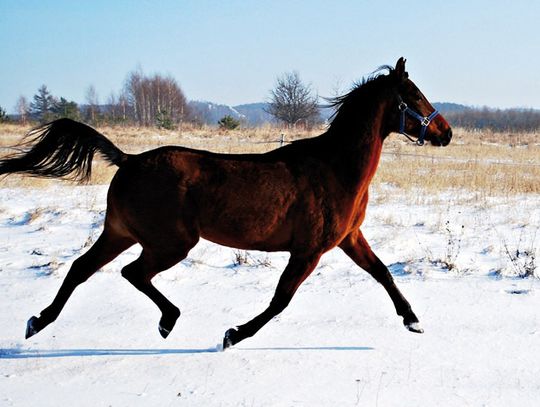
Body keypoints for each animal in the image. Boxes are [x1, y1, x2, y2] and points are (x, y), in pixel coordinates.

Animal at [1, 59, 452, 350]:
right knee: (132, 273)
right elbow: (280, 300)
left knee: (81, 269)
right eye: (414, 96)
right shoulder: (309, 250)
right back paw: (168, 320)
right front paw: (233, 335)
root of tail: (129, 160)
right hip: (170, 243)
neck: (335, 168)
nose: (445, 132)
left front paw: (412, 320)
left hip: (120, 232)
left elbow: (383, 273)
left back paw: (38, 321)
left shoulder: (349, 238)